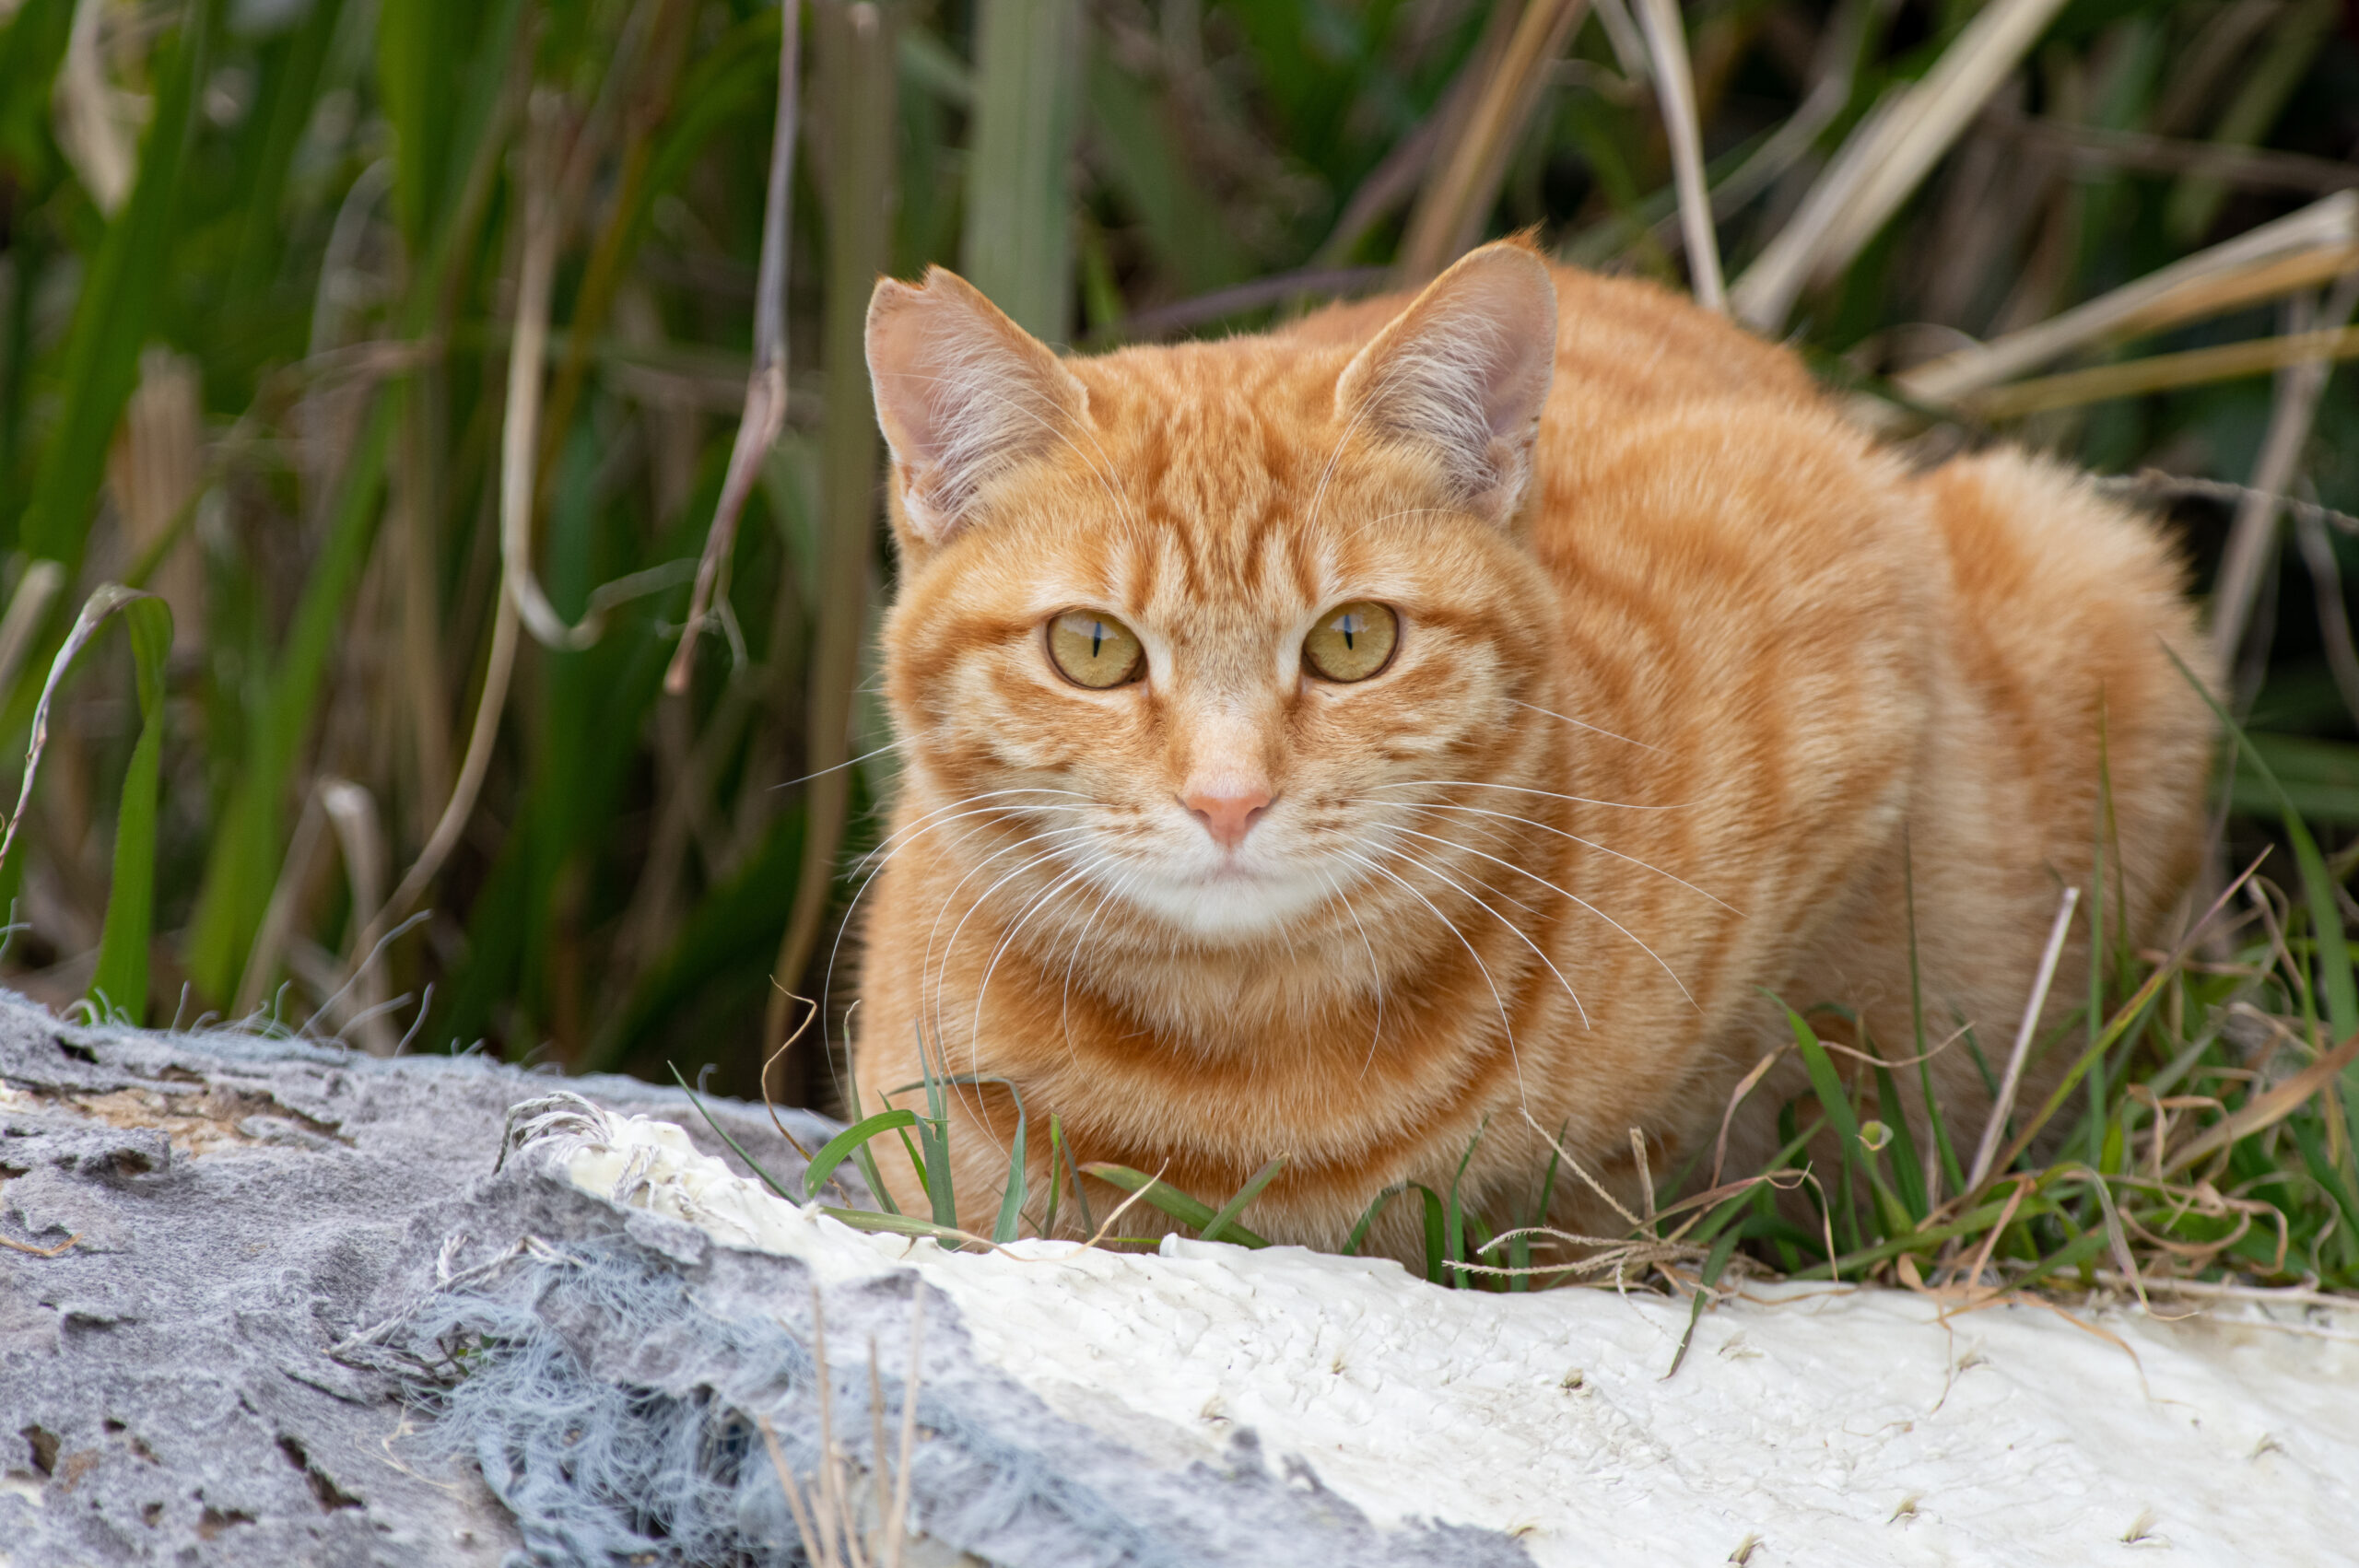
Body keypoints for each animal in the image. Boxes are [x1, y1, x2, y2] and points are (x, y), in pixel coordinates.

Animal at [844, 235, 2208, 1263]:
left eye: (1352, 641)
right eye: (1091, 649)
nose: (1228, 799)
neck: (1238, 1087)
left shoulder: (1856, 648)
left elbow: (1671, 1120)